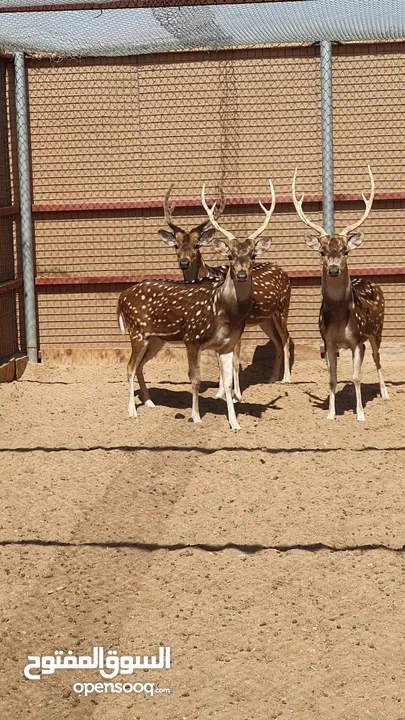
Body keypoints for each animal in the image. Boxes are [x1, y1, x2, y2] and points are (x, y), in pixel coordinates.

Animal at [117, 181, 274, 428]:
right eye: (229, 256)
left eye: (252, 256)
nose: (241, 275)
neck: (224, 311)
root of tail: (121, 296)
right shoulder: (192, 338)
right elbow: (196, 379)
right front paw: (196, 417)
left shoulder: (227, 344)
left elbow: (227, 383)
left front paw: (235, 423)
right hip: (137, 332)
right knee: (129, 366)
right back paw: (132, 411)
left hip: (156, 339)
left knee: (140, 365)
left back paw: (150, 402)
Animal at [158, 184, 290, 400]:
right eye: (176, 245)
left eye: (197, 245)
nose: (183, 262)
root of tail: (283, 271)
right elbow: (218, 356)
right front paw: (220, 393)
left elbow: (234, 360)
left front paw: (236, 394)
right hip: (265, 319)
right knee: (278, 342)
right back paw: (272, 379)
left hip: (283, 308)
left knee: (286, 339)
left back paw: (286, 378)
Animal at [292, 165, 386, 422]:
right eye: (322, 252)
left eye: (345, 251)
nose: (333, 269)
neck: (339, 319)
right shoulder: (329, 342)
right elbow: (333, 379)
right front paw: (331, 414)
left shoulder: (357, 340)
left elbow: (356, 377)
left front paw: (360, 415)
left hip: (377, 330)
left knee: (377, 359)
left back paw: (385, 393)